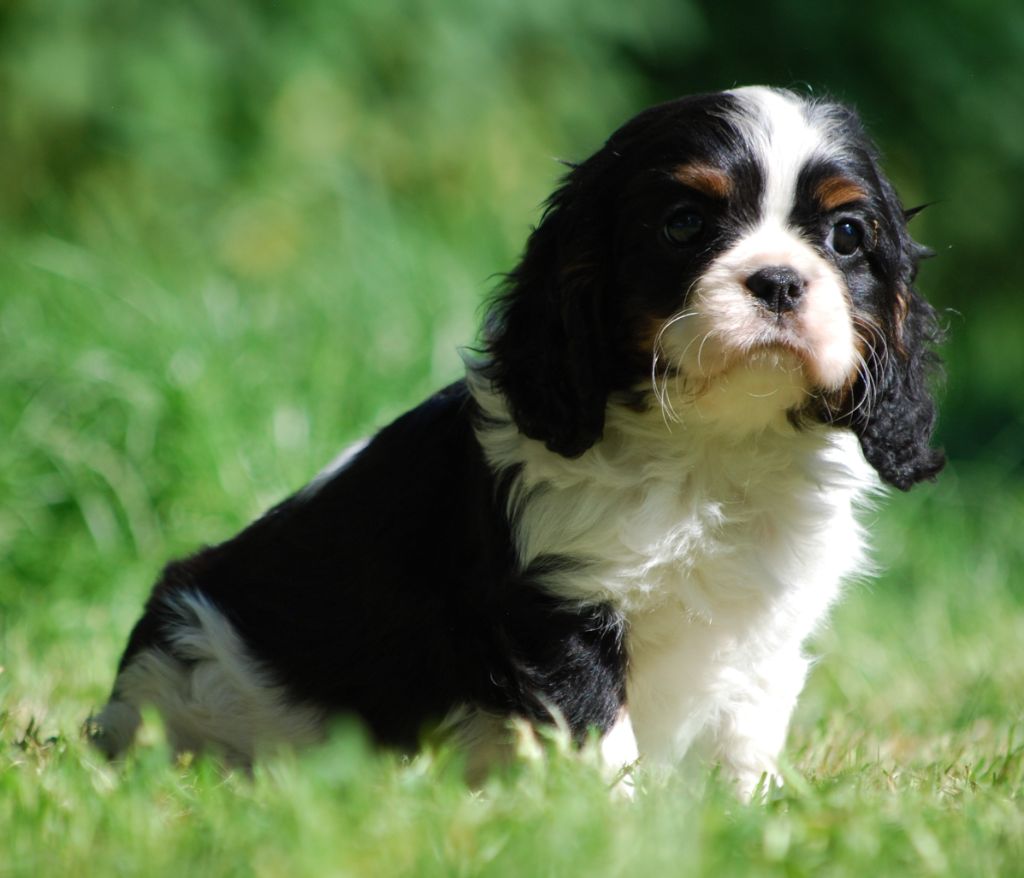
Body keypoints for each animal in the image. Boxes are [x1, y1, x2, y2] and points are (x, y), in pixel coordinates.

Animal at [89, 86, 943, 796]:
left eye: (845, 235)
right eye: (684, 224)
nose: (779, 281)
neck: (711, 446)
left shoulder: (763, 627)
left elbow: (744, 735)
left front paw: (744, 820)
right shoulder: (558, 610)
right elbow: (601, 738)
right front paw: (616, 827)